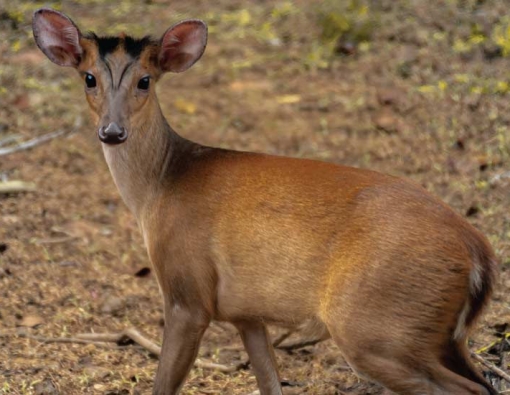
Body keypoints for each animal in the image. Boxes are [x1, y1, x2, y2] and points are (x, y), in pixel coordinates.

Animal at [31, 7, 498, 394]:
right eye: (89, 77)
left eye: (145, 80)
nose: (112, 131)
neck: (161, 186)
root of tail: (479, 254)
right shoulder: (247, 312)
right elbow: (270, 382)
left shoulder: (188, 291)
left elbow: (163, 384)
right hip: (441, 336)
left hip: (377, 326)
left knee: (466, 390)